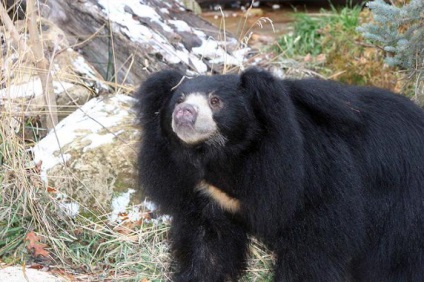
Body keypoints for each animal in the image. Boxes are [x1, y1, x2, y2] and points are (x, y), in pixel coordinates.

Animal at [136, 69, 424, 282]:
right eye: (179, 99)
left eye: (215, 101)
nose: (183, 113)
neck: (230, 156)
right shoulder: (208, 192)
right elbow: (208, 246)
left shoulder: (313, 181)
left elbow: (312, 250)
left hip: (403, 206)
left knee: (394, 260)